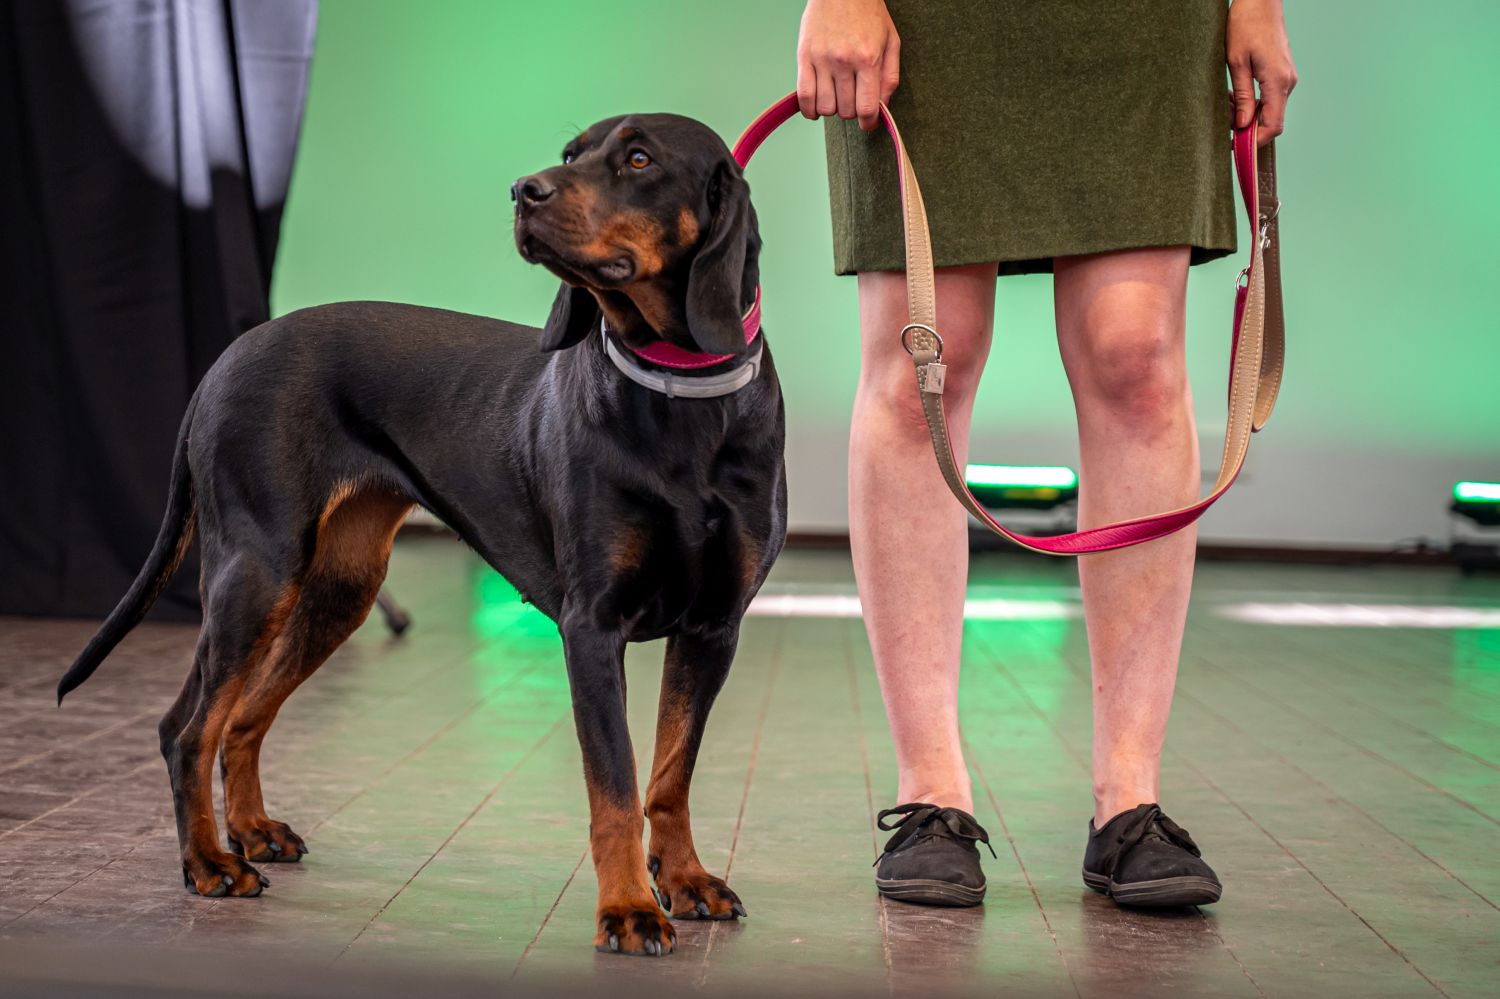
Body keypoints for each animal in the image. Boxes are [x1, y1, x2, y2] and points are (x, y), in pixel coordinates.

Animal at [57, 112, 786, 957]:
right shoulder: (592, 627)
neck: (678, 392)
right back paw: (209, 860)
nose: (523, 190)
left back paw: (252, 831)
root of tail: (224, 360)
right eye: (571, 153)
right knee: (187, 727)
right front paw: (631, 907)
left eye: (638, 158)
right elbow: (615, 782)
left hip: (337, 589)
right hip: (257, 572)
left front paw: (687, 880)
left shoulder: (712, 627)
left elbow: (670, 773)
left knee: (240, 716)